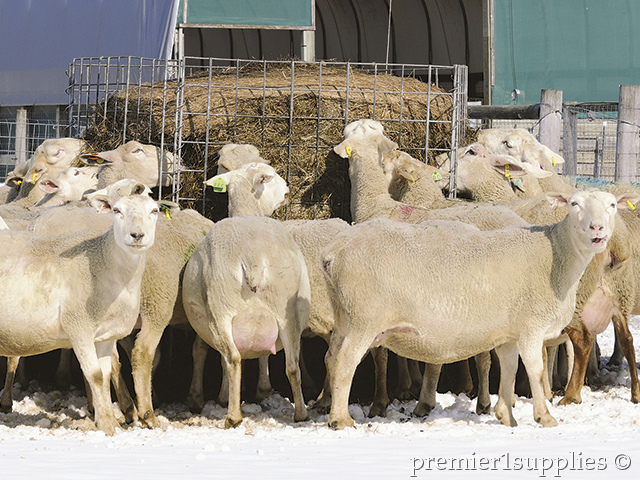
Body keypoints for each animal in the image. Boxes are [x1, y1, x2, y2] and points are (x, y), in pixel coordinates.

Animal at [0, 191, 159, 436]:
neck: (103, 263)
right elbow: (95, 375)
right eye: (117, 210)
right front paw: (106, 426)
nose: (137, 235)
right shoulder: (79, 327)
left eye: (154, 210)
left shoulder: (105, 337)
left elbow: (105, 375)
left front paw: (109, 422)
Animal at [181, 217, 312, 428]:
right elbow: (263, 355)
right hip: (287, 313)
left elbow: (200, 351)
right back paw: (301, 414)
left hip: (218, 309)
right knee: (292, 366)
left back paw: (233, 417)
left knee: (232, 359)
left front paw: (200, 397)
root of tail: (253, 257)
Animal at [320, 189, 624, 430]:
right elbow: (535, 371)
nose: (597, 228)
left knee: (331, 357)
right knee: (346, 361)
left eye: (612, 205)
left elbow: (510, 369)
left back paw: (329, 408)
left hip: (344, 314)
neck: (556, 256)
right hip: (364, 318)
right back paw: (341, 420)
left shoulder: (509, 333)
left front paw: (506, 416)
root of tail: (334, 251)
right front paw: (544, 417)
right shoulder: (531, 327)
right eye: (574, 204)